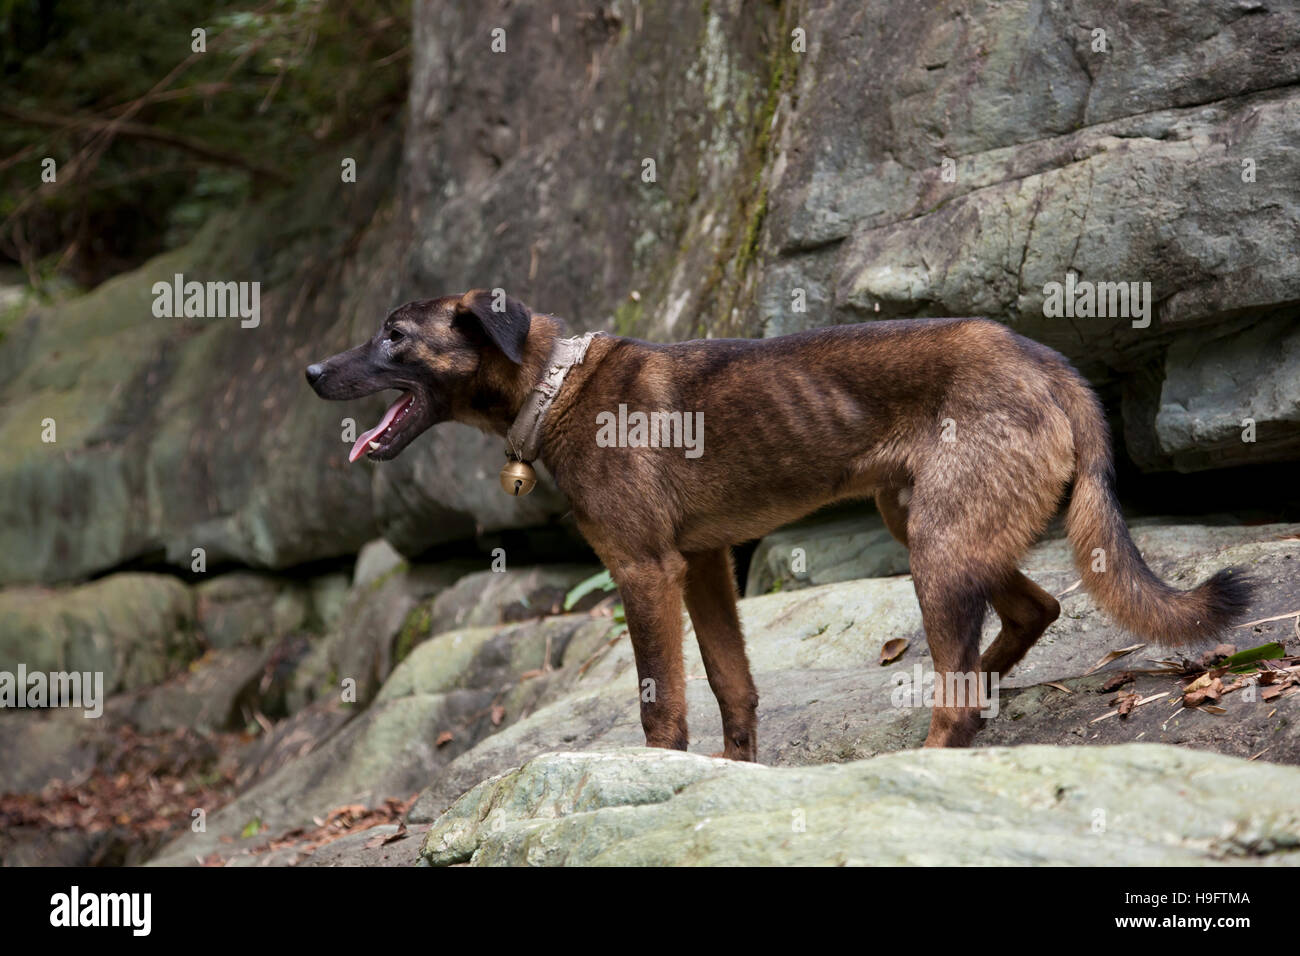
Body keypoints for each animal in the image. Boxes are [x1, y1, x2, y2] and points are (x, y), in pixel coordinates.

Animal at [304, 287, 1248, 759]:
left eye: (393, 336)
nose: (310, 371)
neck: (552, 382)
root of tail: (1056, 366)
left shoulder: (645, 572)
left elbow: (659, 706)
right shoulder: (706, 566)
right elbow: (735, 690)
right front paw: (732, 778)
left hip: (938, 549)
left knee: (960, 696)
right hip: (927, 523)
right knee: (1031, 613)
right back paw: (985, 683)